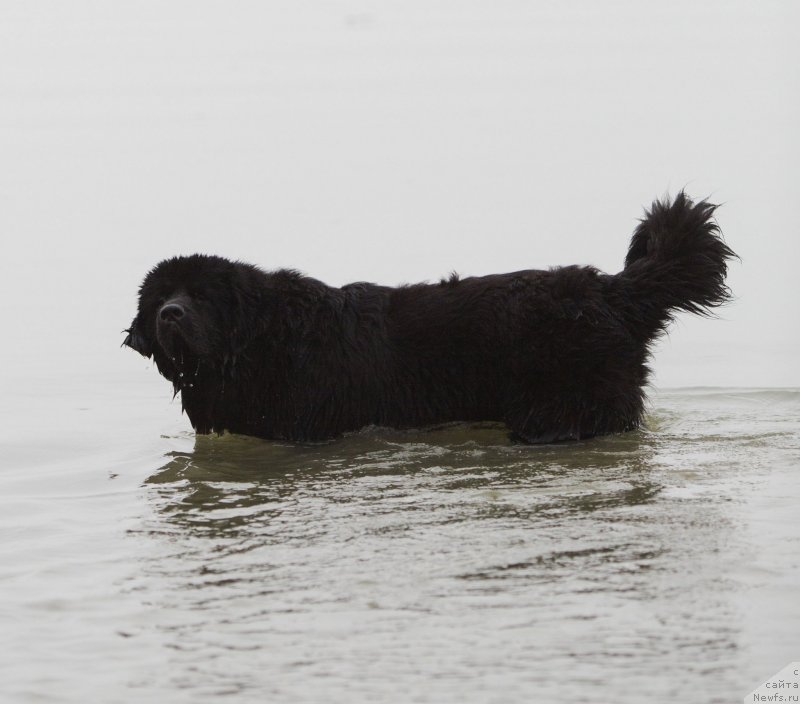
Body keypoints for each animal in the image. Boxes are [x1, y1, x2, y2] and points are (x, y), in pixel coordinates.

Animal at [123, 191, 736, 446]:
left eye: (203, 296)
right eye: (160, 300)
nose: (172, 314)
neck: (258, 343)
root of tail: (610, 289)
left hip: (559, 401)